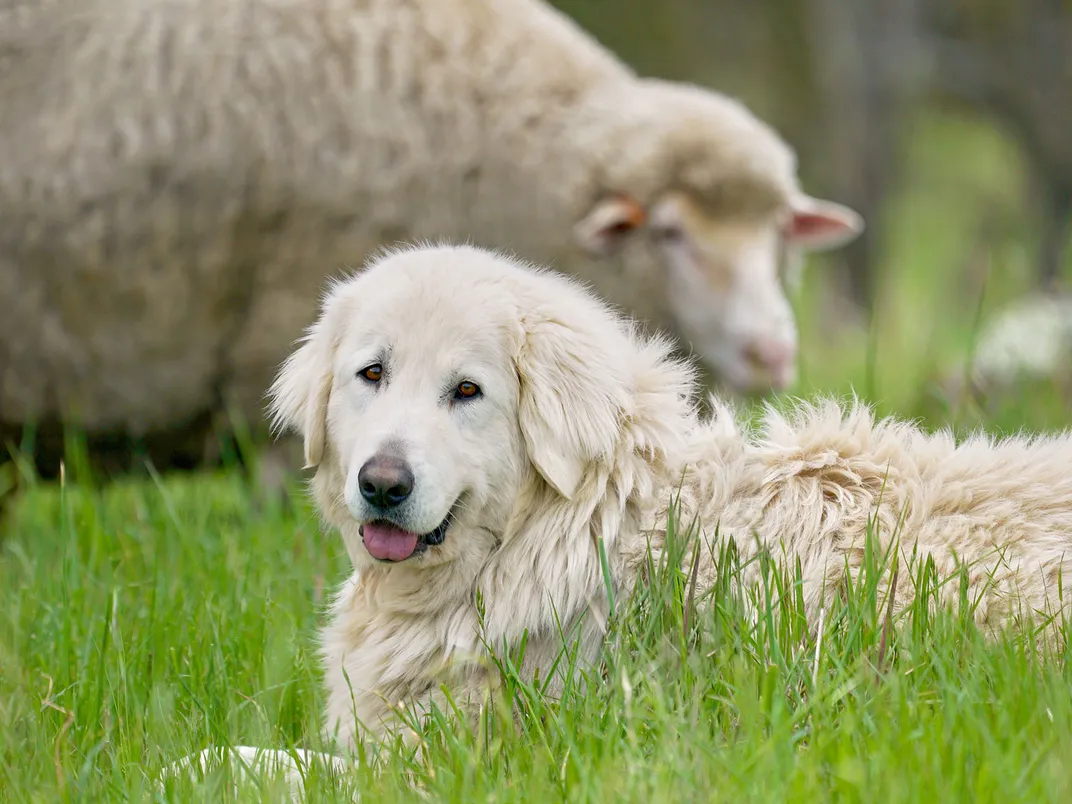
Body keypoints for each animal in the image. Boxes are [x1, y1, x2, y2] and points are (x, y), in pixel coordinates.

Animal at [167, 244, 1072, 793]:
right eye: (372, 374)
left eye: (466, 390)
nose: (383, 483)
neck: (565, 527)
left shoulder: (474, 756)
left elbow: (264, 762)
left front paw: (192, 769)